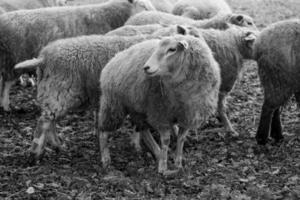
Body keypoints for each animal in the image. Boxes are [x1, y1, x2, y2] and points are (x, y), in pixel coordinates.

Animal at [98, 35, 220, 174]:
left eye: (172, 49)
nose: (146, 67)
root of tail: (113, 59)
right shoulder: (161, 113)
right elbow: (166, 140)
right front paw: (163, 168)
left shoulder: (189, 115)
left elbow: (181, 138)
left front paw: (178, 164)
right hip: (113, 104)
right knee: (103, 131)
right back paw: (105, 159)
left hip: (138, 107)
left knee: (143, 130)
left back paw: (156, 151)